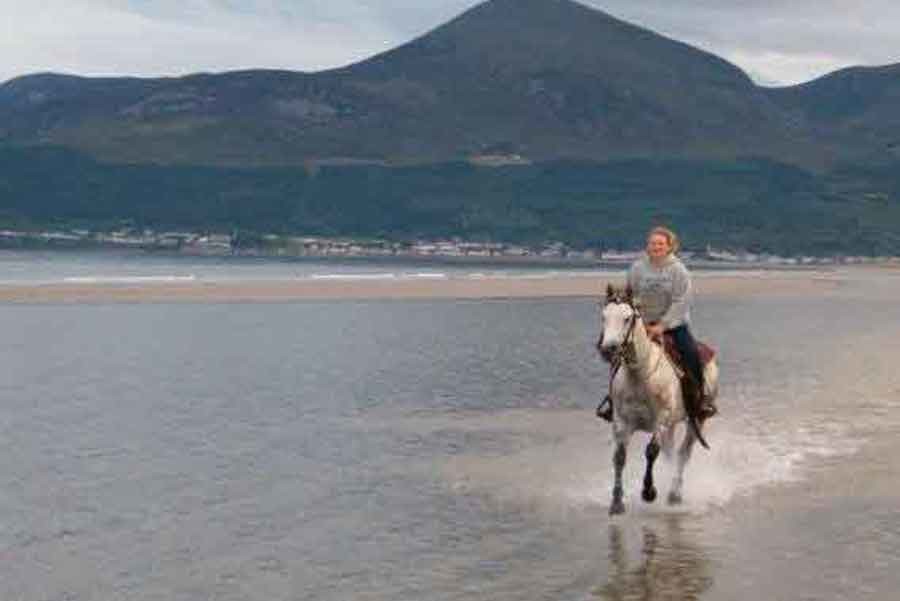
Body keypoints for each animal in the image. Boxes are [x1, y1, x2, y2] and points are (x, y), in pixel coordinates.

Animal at [600, 284, 720, 512]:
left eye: (627, 318)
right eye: (604, 316)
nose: (608, 349)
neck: (640, 375)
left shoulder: (661, 420)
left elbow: (651, 451)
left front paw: (648, 492)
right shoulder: (621, 422)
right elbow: (619, 457)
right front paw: (617, 501)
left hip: (696, 420)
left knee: (683, 454)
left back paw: (674, 494)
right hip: (672, 426)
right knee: (671, 454)